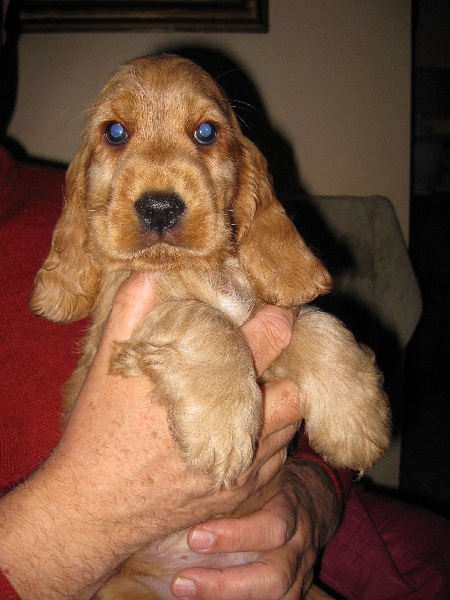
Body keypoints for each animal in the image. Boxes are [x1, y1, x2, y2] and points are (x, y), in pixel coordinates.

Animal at [30, 54, 390, 599]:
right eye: (115, 132)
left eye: (205, 132)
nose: (159, 206)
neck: (199, 270)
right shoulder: (121, 324)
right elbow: (201, 318)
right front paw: (223, 427)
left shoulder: (269, 314)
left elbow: (315, 323)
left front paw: (356, 420)